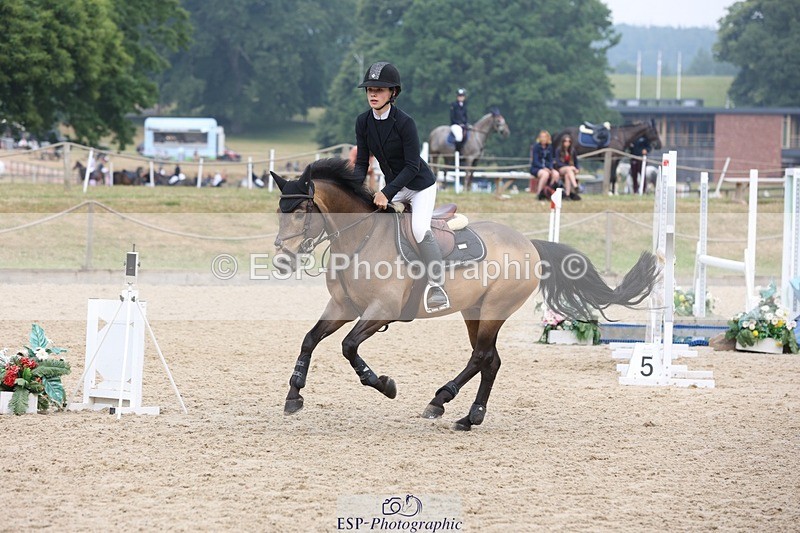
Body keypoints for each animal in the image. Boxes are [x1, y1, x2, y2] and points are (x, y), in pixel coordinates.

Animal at [270, 158, 659, 431]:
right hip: (473, 311)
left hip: (493, 309)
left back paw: (453, 407)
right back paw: (456, 410)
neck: (360, 238)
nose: (282, 261)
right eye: (279, 211)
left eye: (301, 211)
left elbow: (349, 347)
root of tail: (529, 243)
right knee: (489, 360)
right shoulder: (342, 306)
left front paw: (384, 385)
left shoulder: (381, 310)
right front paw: (294, 395)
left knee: (483, 357)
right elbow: (310, 339)